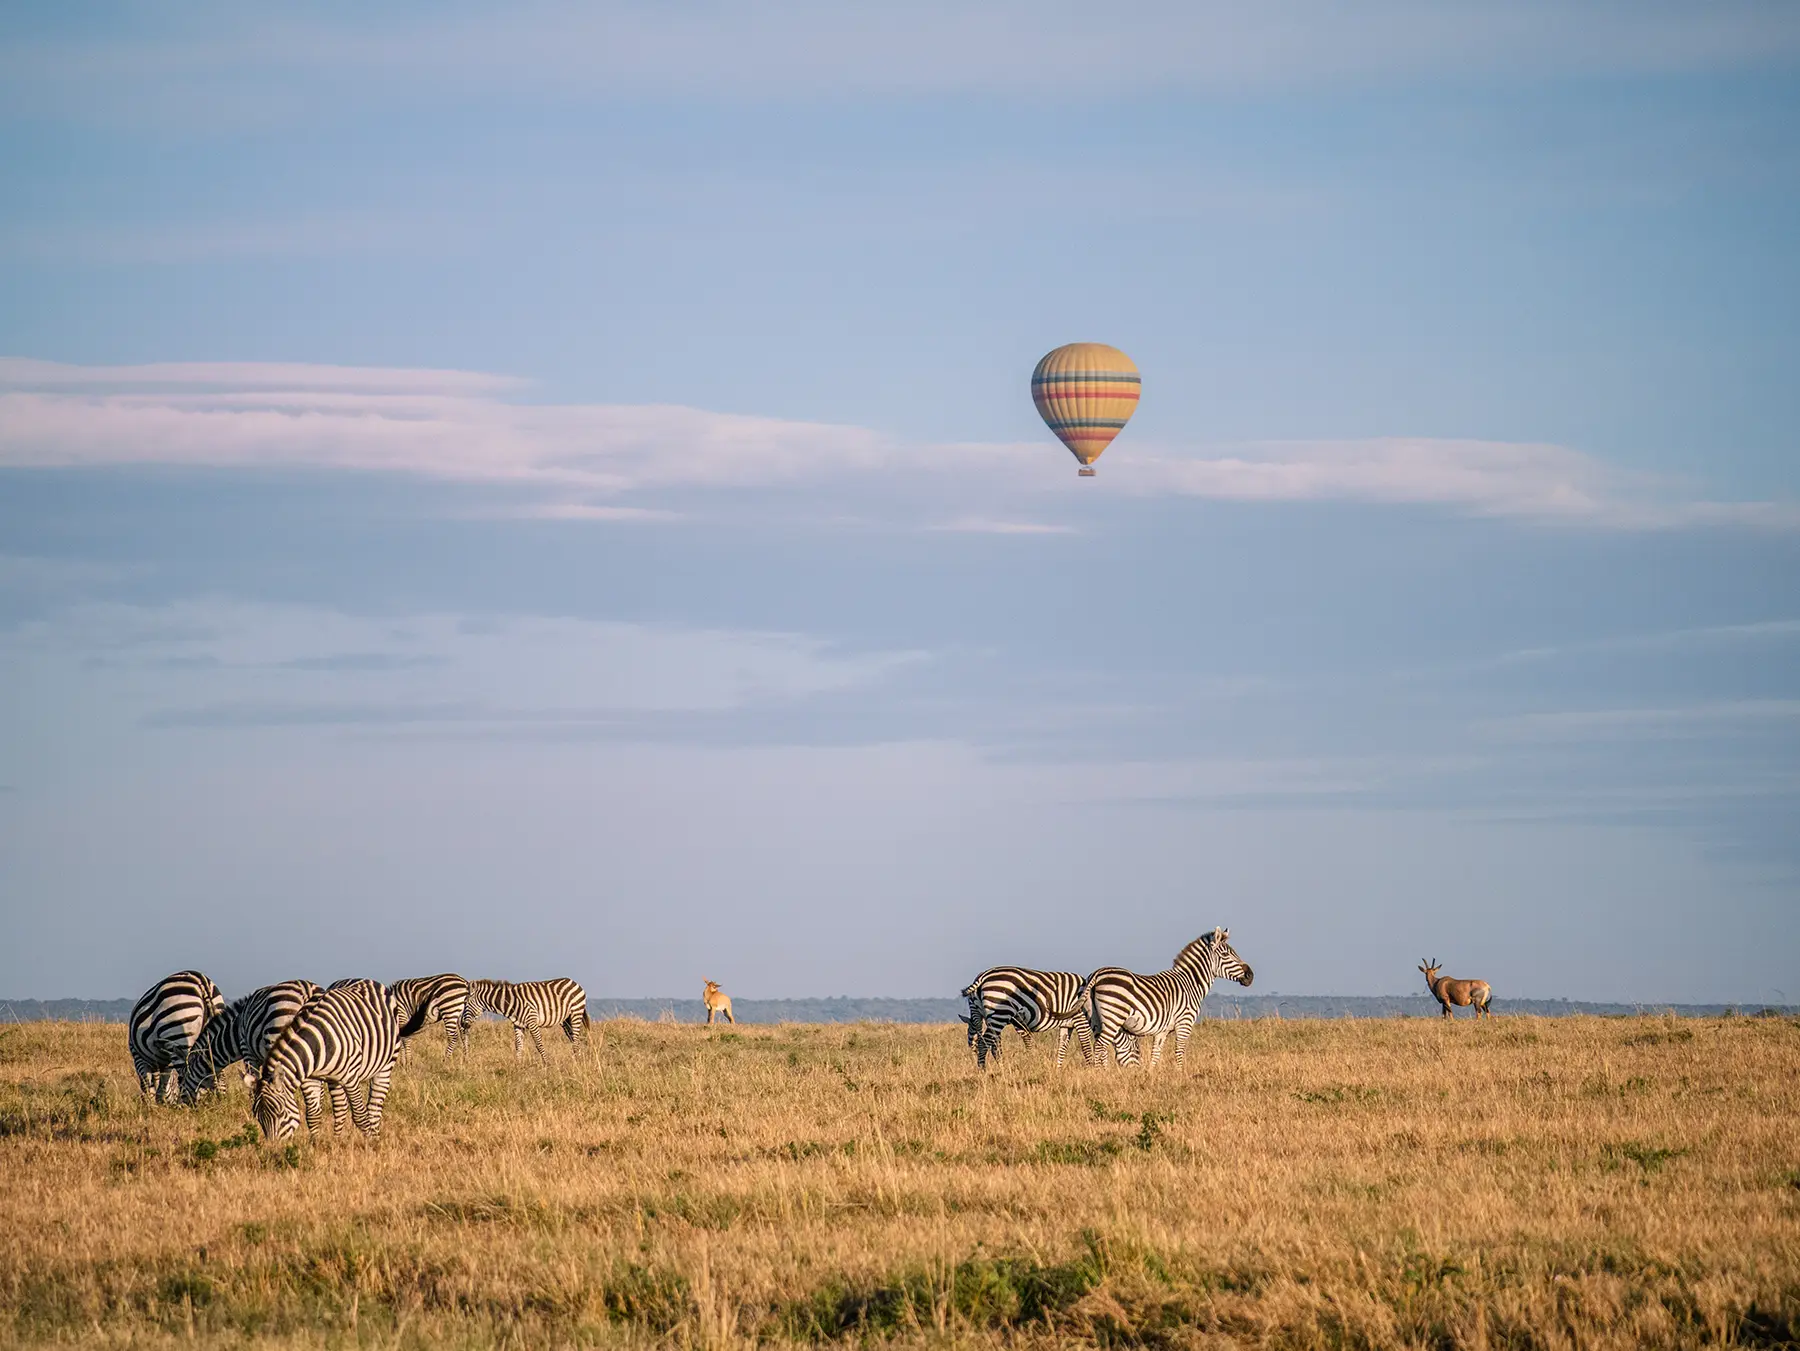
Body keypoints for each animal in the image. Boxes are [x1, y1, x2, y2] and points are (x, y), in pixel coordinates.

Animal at [128, 970, 226, 1103]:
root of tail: (200, 981)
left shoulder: (138, 1057)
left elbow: (147, 1085)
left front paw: (151, 1104)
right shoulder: (166, 1060)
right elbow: (162, 1083)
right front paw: (161, 1102)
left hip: (179, 1034)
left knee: (189, 1074)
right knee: (219, 1076)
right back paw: (221, 1102)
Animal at [179, 979, 321, 1104]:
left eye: (182, 1081)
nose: (180, 1107)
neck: (234, 1033)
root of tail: (306, 990)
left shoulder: (248, 1052)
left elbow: (253, 1082)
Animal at [251, 980, 401, 1141]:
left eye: (280, 1113)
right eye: (258, 1118)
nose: (273, 1147)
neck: (317, 1043)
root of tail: (367, 980)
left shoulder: (351, 1078)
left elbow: (360, 1116)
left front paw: (371, 1143)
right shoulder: (311, 1078)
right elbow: (312, 1114)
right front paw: (316, 1143)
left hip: (385, 1066)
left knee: (374, 1109)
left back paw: (376, 1136)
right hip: (335, 1079)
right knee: (341, 1109)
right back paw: (337, 1139)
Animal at [960, 966, 1093, 1069]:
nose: (972, 1051)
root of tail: (982, 976)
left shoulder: (1069, 1023)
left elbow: (1063, 1047)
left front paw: (1058, 1069)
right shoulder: (1081, 1019)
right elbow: (1086, 1046)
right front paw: (1091, 1070)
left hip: (981, 1013)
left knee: (988, 1041)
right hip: (1000, 1012)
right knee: (984, 1043)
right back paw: (982, 1071)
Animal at [1082, 927, 1254, 1069]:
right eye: (1226, 954)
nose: (1250, 976)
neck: (1191, 983)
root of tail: (1097, 973)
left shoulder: (1162, 1031)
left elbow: (1155, 1055)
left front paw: (1150, 1076)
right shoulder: (1185, 1023)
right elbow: (1179, 1051)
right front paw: (1180, 1075)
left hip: (1095, 1019)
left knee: (1099, 1046)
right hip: (1114, 1017)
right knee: (1100, 1046)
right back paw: (1102, 1074)